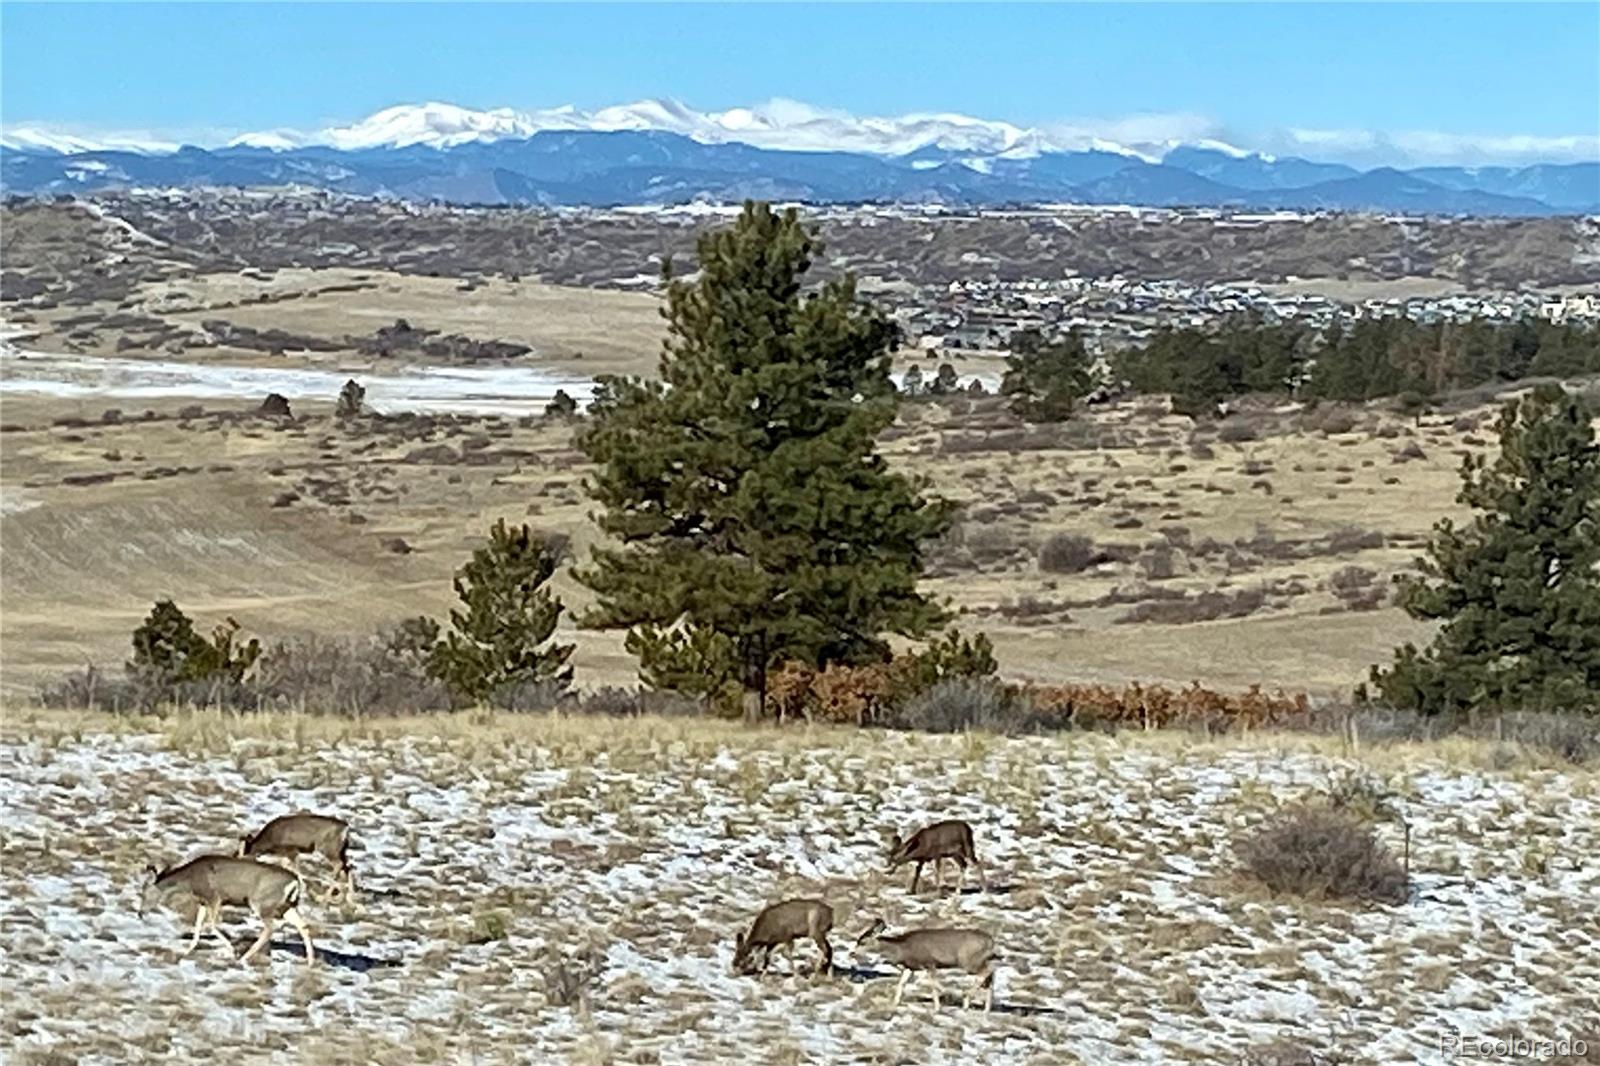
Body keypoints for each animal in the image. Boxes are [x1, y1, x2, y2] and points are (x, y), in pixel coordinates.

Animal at [140, 857, 315, 960]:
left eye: (144, 893)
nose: (140, 913)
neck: (190, 880)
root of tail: (295, 882)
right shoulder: (203, 901)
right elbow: (198, 924)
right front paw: (188, 950)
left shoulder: (215, 897)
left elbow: (211, 925)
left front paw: (232, 950)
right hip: (288, 906)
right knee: (303, 926)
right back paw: (310, 962)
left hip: (262, 904)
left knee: (270, 929)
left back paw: (244, 957)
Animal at [857, 915, 992, 1005]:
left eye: (863, 942)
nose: (853, 952)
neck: (902, 949)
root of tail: (990, 940)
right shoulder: (910, 967)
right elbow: (902, 983)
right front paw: (895, 1003)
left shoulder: (929, 962)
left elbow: (930, 983)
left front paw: (942, 1002)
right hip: (979, 961)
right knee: (989, 979)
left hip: (968, 961)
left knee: (986, 973)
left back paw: (966, 999)